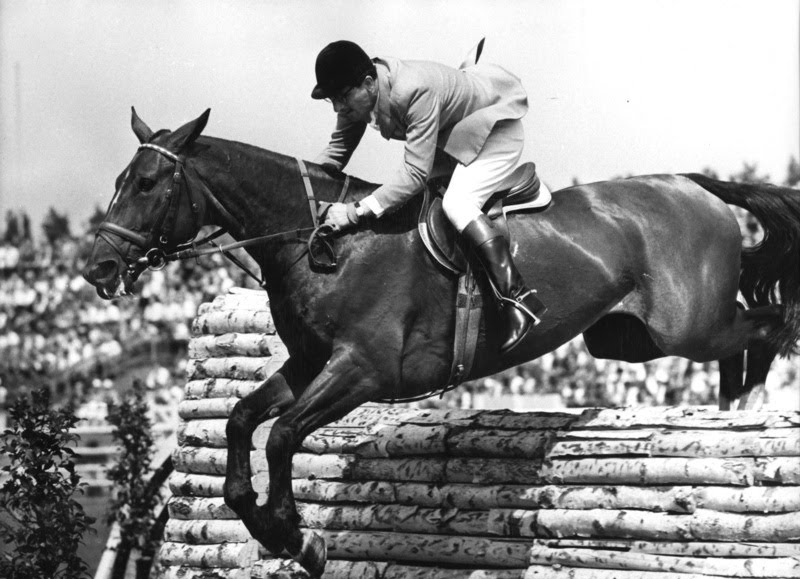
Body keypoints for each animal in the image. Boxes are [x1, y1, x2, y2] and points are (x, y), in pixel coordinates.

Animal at [83, 109, 800, 576]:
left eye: (146, 184)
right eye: (116, 181)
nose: (97, 268)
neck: (323, 243)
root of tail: (693, 182)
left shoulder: (363, 371)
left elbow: (283, 435)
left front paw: (296, 536)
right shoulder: (311, 363)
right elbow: (239, 421)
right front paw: (272, 525)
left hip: (686, 323)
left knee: (767, 322)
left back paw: (750, 404)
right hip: (627, 339)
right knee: (744, 333)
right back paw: (731, 407)